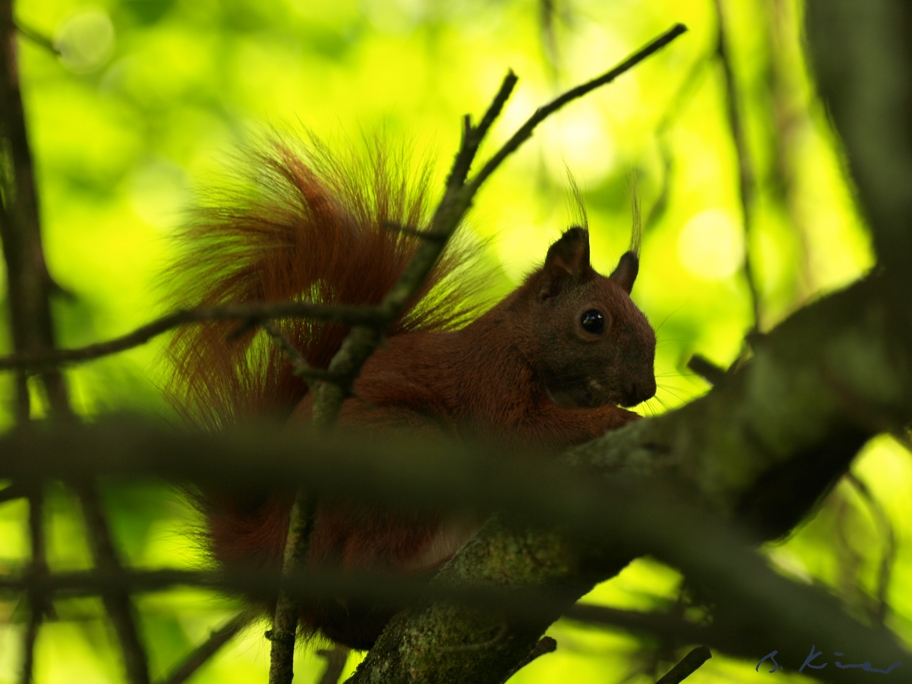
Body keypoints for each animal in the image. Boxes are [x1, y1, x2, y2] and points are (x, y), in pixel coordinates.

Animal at [166, 136, 656, 648]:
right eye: (593, 321)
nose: (645, 388)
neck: (525, 345)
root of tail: (268, 544)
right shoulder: (491, 378)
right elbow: (519, 433)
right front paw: (619, 421)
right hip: (404, 451)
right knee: (362, 572)